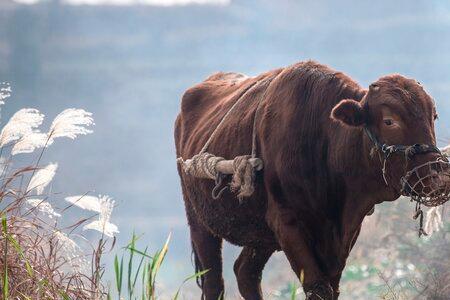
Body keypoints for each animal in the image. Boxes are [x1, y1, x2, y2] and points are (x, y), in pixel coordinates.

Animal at [174, 61, 448, 300]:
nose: (439, 176)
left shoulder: (344, 235)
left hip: (260, 235)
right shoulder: (287, 223)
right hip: (199, 221)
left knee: (245, 273)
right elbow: (319, 288)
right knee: (213, 282)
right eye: (389, 121)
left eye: (433, 116)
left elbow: (331, 288)